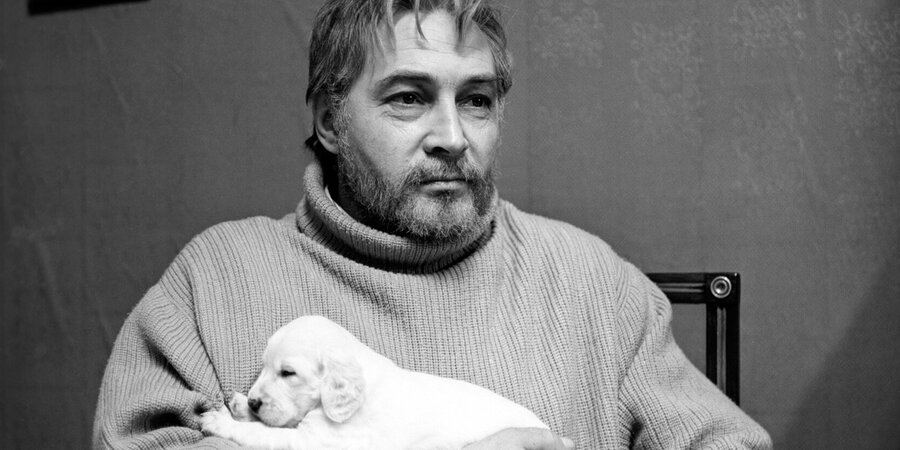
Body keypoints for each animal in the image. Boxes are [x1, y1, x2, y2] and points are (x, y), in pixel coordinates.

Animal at [200, 315, 549, 449]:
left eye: (288, 373)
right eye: (264, 367)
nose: (254, 400)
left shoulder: (315, 441)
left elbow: (263, 433)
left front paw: (223, 421)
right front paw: (240, 406)